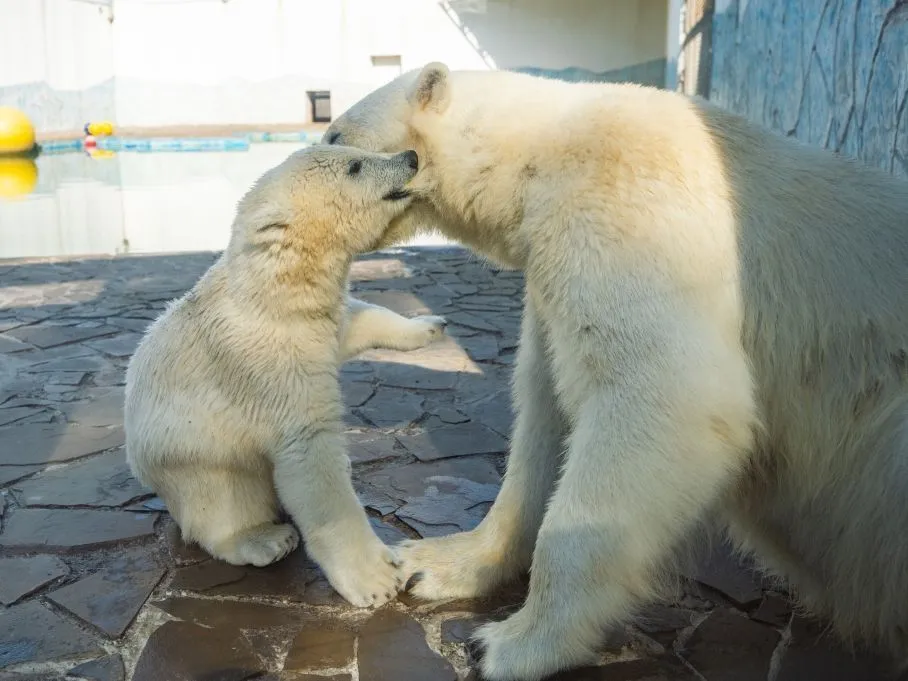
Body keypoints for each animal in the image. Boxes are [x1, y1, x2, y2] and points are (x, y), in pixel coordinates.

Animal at [125, 143, 446, 604]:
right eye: (355, 166)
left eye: (356, 152)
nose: (411, 156)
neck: (272, 289)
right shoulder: (269, 363)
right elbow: (310, 458)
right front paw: (377, 579)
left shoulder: (319, 321)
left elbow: (360, 319)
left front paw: (429, 325)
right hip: (193, 457)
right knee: (222, 500)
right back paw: (266, 539)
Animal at [328, 62, 908, 676]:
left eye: (337, 137)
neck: (541, 154)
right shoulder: (550, 280)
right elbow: (546, 417)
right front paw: (433, 560)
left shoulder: (631, 222)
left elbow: (663, 398)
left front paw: (510, 644)